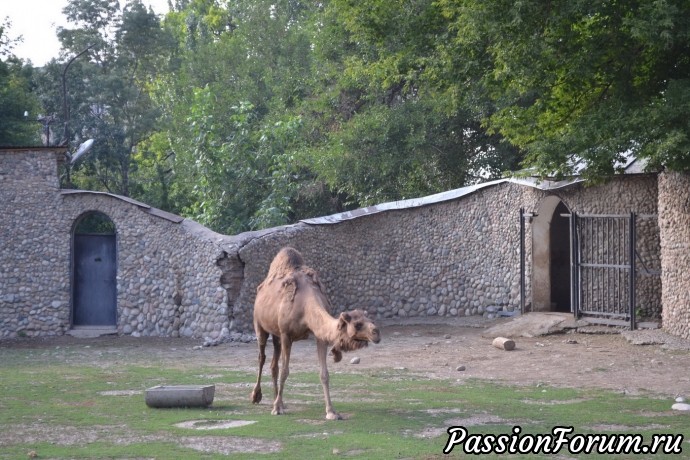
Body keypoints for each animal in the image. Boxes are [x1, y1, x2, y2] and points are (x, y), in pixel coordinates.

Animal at [249, 248, 378, 420]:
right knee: (262, 357)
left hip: (275, 333)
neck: (305, 303)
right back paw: (257, 396)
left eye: (369, 319)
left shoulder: (318, 335)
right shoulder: (286, 334)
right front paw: (277, 408)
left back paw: (278, 400)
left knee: (273, 364)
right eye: (357, 325)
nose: (377, 332)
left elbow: (324, 373)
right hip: (259, 324)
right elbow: (285, 371)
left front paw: (331, 412)